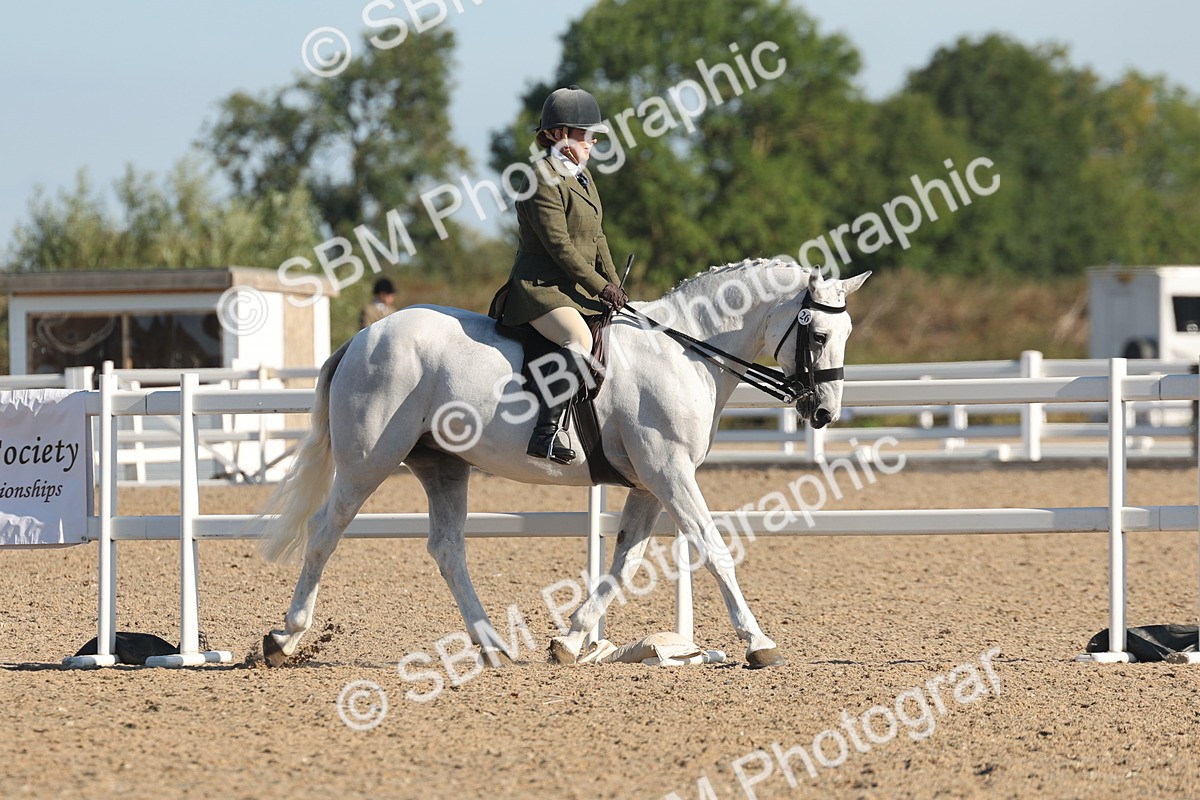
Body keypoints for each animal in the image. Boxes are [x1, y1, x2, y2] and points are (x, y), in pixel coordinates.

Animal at [257, 258, 869, 668]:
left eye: (846, 333)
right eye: (817, 333)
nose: (824, 412)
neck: (684, 350)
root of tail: (362, 337)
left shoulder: (649, 483)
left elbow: (626, 560)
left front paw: (571, 640)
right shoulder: (669, 471)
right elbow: (714, 548)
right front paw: (758, 642)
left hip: (443, 466)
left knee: (447, 549)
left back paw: (494, 647)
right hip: (370, 460)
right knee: (325, 532)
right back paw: (285, 638)